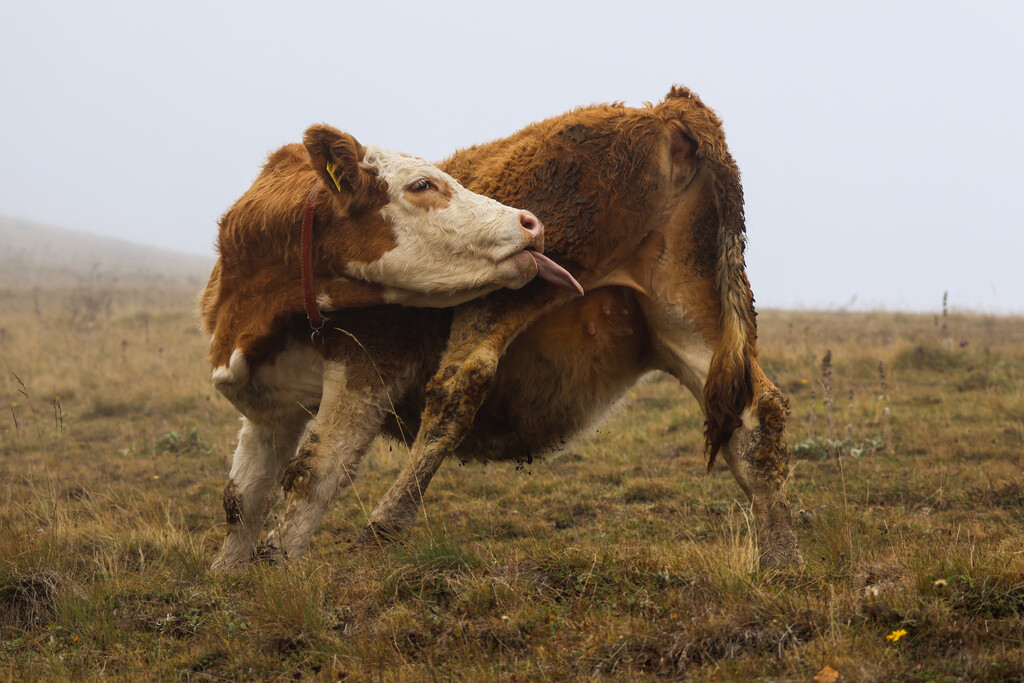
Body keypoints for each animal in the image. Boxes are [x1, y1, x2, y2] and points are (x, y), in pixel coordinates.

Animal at [208, 86, 802, 571]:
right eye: (422, 184)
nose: (528, 222)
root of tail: (667, 112)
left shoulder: (367, 368)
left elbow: (315, 470)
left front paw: (276, 564)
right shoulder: (268, 408)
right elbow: (243, 499)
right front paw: (228, 579)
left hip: (516, 287)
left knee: (456, 386)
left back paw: (383, 526)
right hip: (684, 313)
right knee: (757, 413)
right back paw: (779, 559)